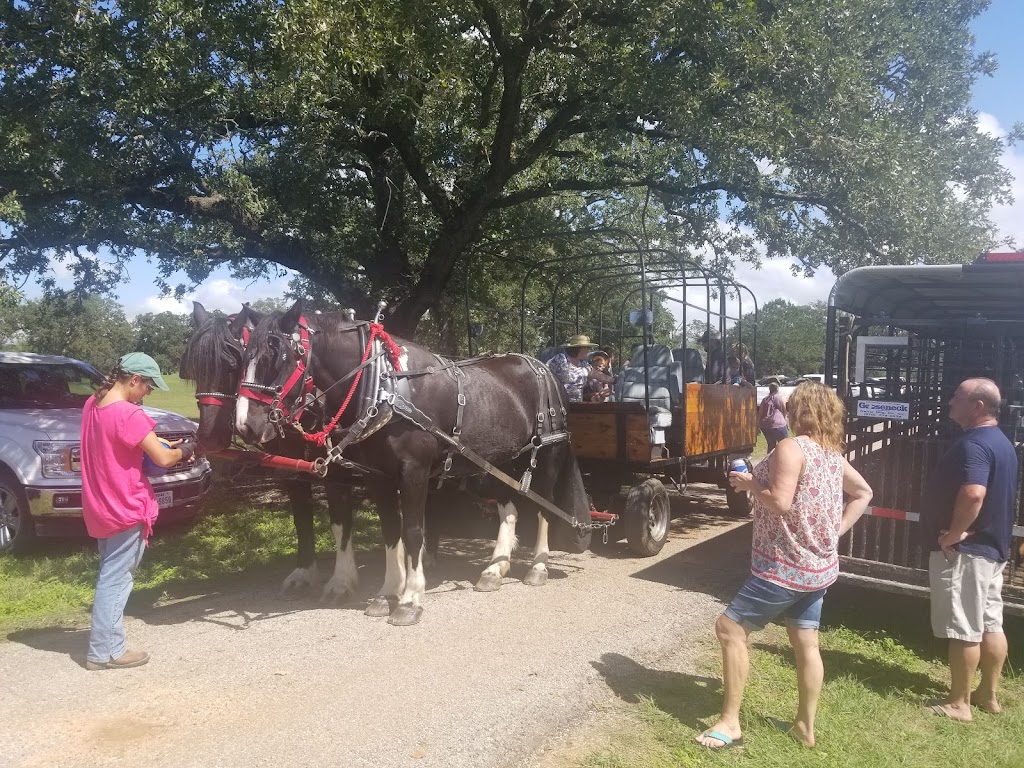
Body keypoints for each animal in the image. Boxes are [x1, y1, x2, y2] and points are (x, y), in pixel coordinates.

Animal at [234, 301, 593, 626]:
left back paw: (538, 566)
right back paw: (494, 568)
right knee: (510, 508)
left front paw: (410, 598)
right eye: (242, 356)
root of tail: (544, 370)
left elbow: (412, 531)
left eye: (278, 357)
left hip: (546, 455)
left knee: (544, 507)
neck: (386, 386)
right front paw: (387, 592)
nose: (245, 425)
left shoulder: (414, 472)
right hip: (496, 462)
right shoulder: (378, 475)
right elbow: (390, 531)